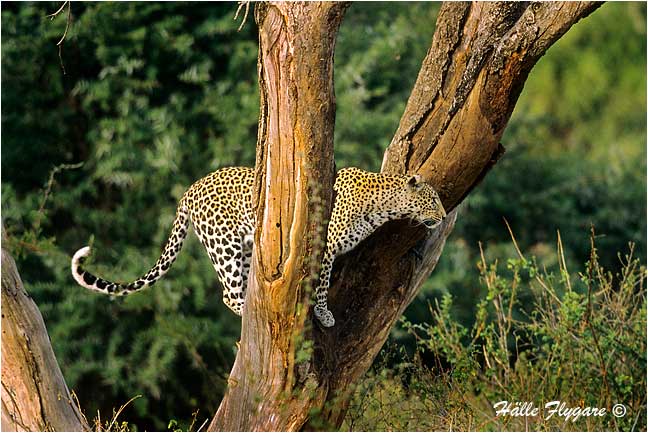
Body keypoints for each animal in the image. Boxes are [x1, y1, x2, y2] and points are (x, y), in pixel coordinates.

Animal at [71, 166, 446, 327]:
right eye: (432, 200)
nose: (443, 216)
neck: (382, 205)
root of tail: (191, 188)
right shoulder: (323, 246)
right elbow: (322, 285)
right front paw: (324, 314)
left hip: (251, 250)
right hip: (223, 245)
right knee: (229, 294)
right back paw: (246, 312)